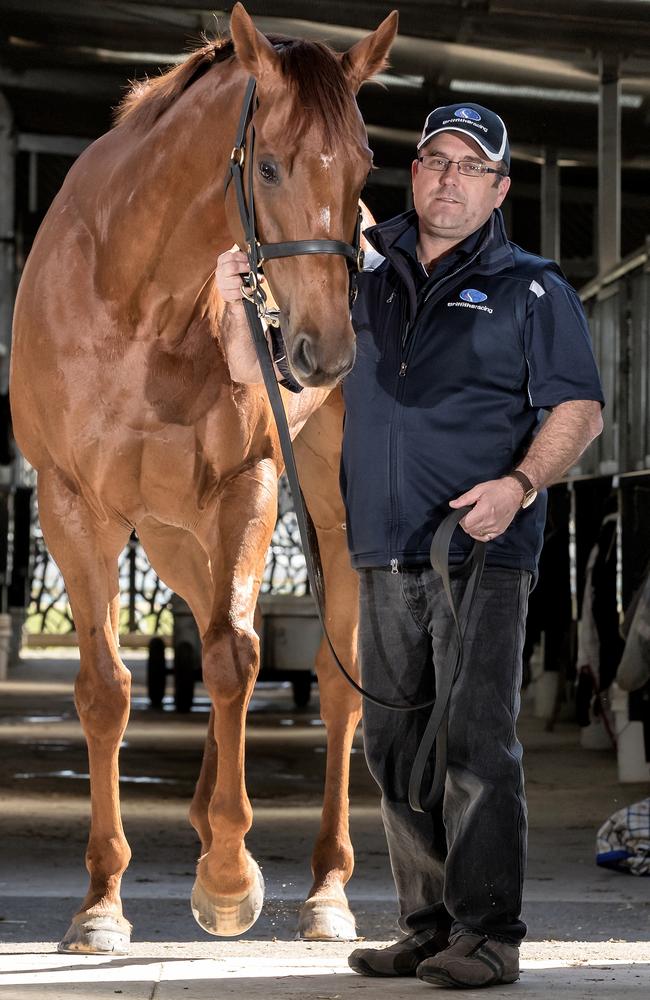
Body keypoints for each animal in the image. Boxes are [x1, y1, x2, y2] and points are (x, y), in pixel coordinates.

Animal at [8, 1, 394, 952]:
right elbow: (105, 689)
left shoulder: (246, 485)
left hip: (323, 507)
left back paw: (324, 888)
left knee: (335, 683)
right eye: (269, 163)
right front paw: (101, 903)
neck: (136, 299)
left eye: (365, 163)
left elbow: (234, 658)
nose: (326, 351)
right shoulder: (74, 507)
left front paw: (228, 875)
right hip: (169, 532)